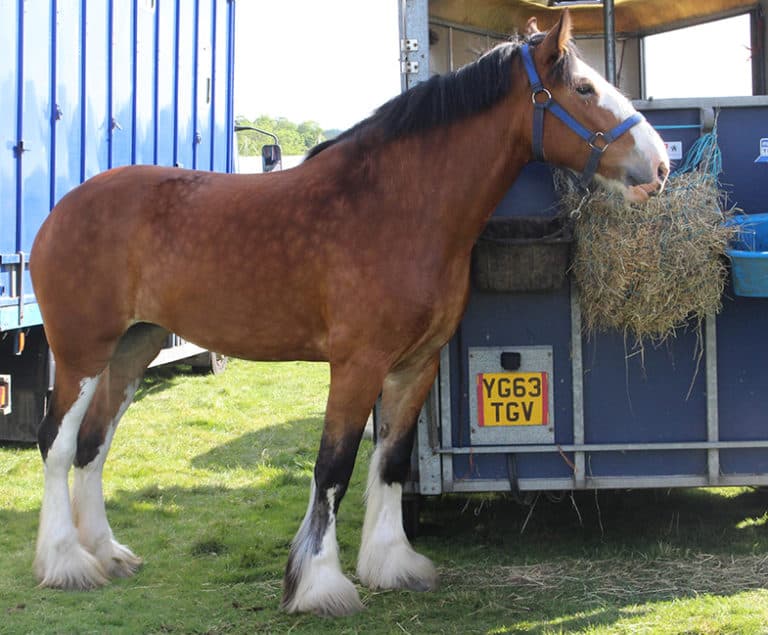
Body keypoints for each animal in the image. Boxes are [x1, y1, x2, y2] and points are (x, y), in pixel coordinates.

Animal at [30, 11, 668, 617]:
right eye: (583, 88)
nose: (659, 165)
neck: (394, 206)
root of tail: (61, 210)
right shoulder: (357, 365)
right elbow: (333, 469)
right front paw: (319, 585)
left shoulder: (416, 365)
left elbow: (390, 462)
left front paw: (392, 565)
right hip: (81, 354)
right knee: (56, 443)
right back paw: (67, 563)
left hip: (132, 349)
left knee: (93, 445)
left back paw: (108, 553)